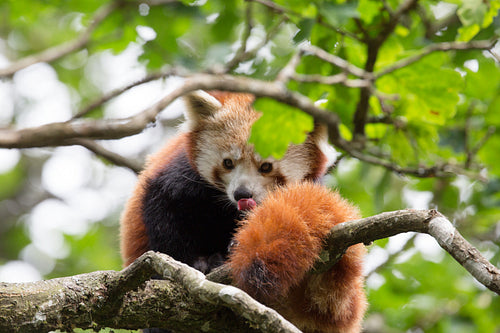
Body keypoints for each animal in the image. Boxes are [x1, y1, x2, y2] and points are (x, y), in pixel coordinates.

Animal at [119, 89, 366, 330]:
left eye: (266, 166)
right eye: (228, 163)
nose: (242, 193)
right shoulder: (178, 178)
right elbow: (165, 218)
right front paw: (192, 262)